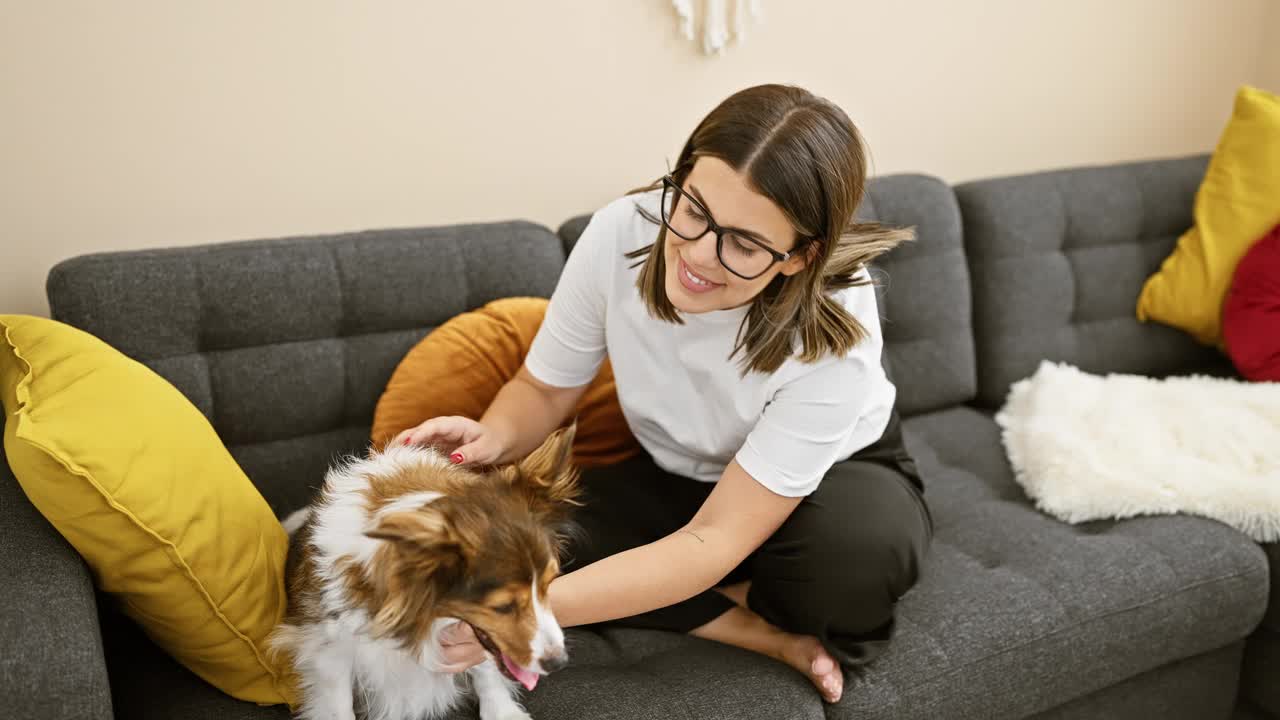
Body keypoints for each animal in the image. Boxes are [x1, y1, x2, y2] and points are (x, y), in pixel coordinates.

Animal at [270, 425, 581, 717]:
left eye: (549, 585)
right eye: (503, 607)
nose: (559, 663)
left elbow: (485, 670)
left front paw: (502, 711)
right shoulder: (327, 648)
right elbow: (339, 703)